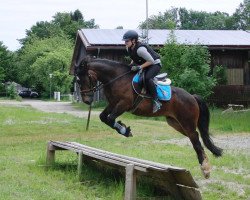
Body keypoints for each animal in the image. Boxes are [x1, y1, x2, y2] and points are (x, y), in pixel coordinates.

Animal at [76, 55, 223, 178]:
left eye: (82, 79)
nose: (87, 101)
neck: (116, 77)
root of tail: (192, 96)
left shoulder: (123, 104)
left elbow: (110, 118)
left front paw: (125, 130)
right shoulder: (113, 104)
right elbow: (103, 117)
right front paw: (125, 129)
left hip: (187, 122)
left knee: (196, 140)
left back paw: (205, 169)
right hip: (176, 123)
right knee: (197, 137)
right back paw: (206, 164)